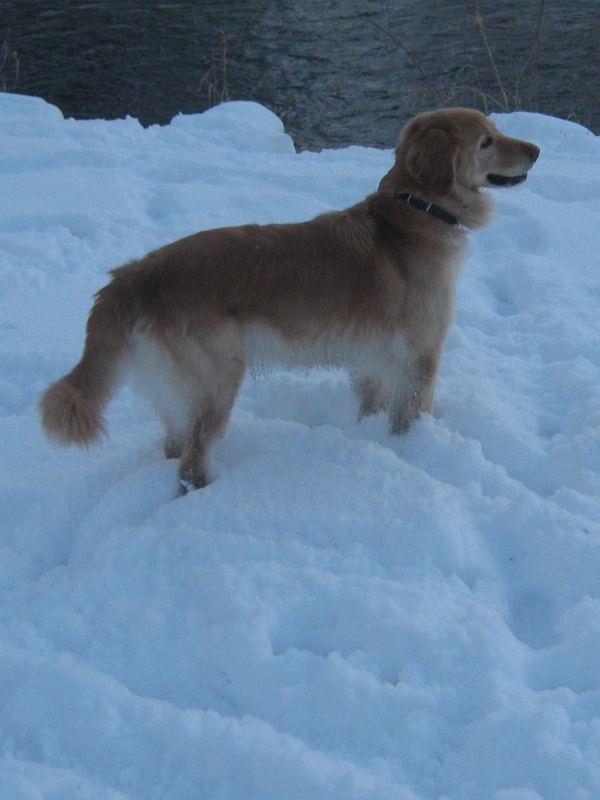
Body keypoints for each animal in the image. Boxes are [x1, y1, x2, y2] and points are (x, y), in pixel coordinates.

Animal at [41, 108, 540, 490]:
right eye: (487, 141)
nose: (536, 150)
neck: (417, 211)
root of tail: (132, 275)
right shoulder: (421, 354)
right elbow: (414, 413)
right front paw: (413, 451)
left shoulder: (372, 359)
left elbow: (373, 406)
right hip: (217, 383)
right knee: (191, 464)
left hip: (178, 392)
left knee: (173, 447)